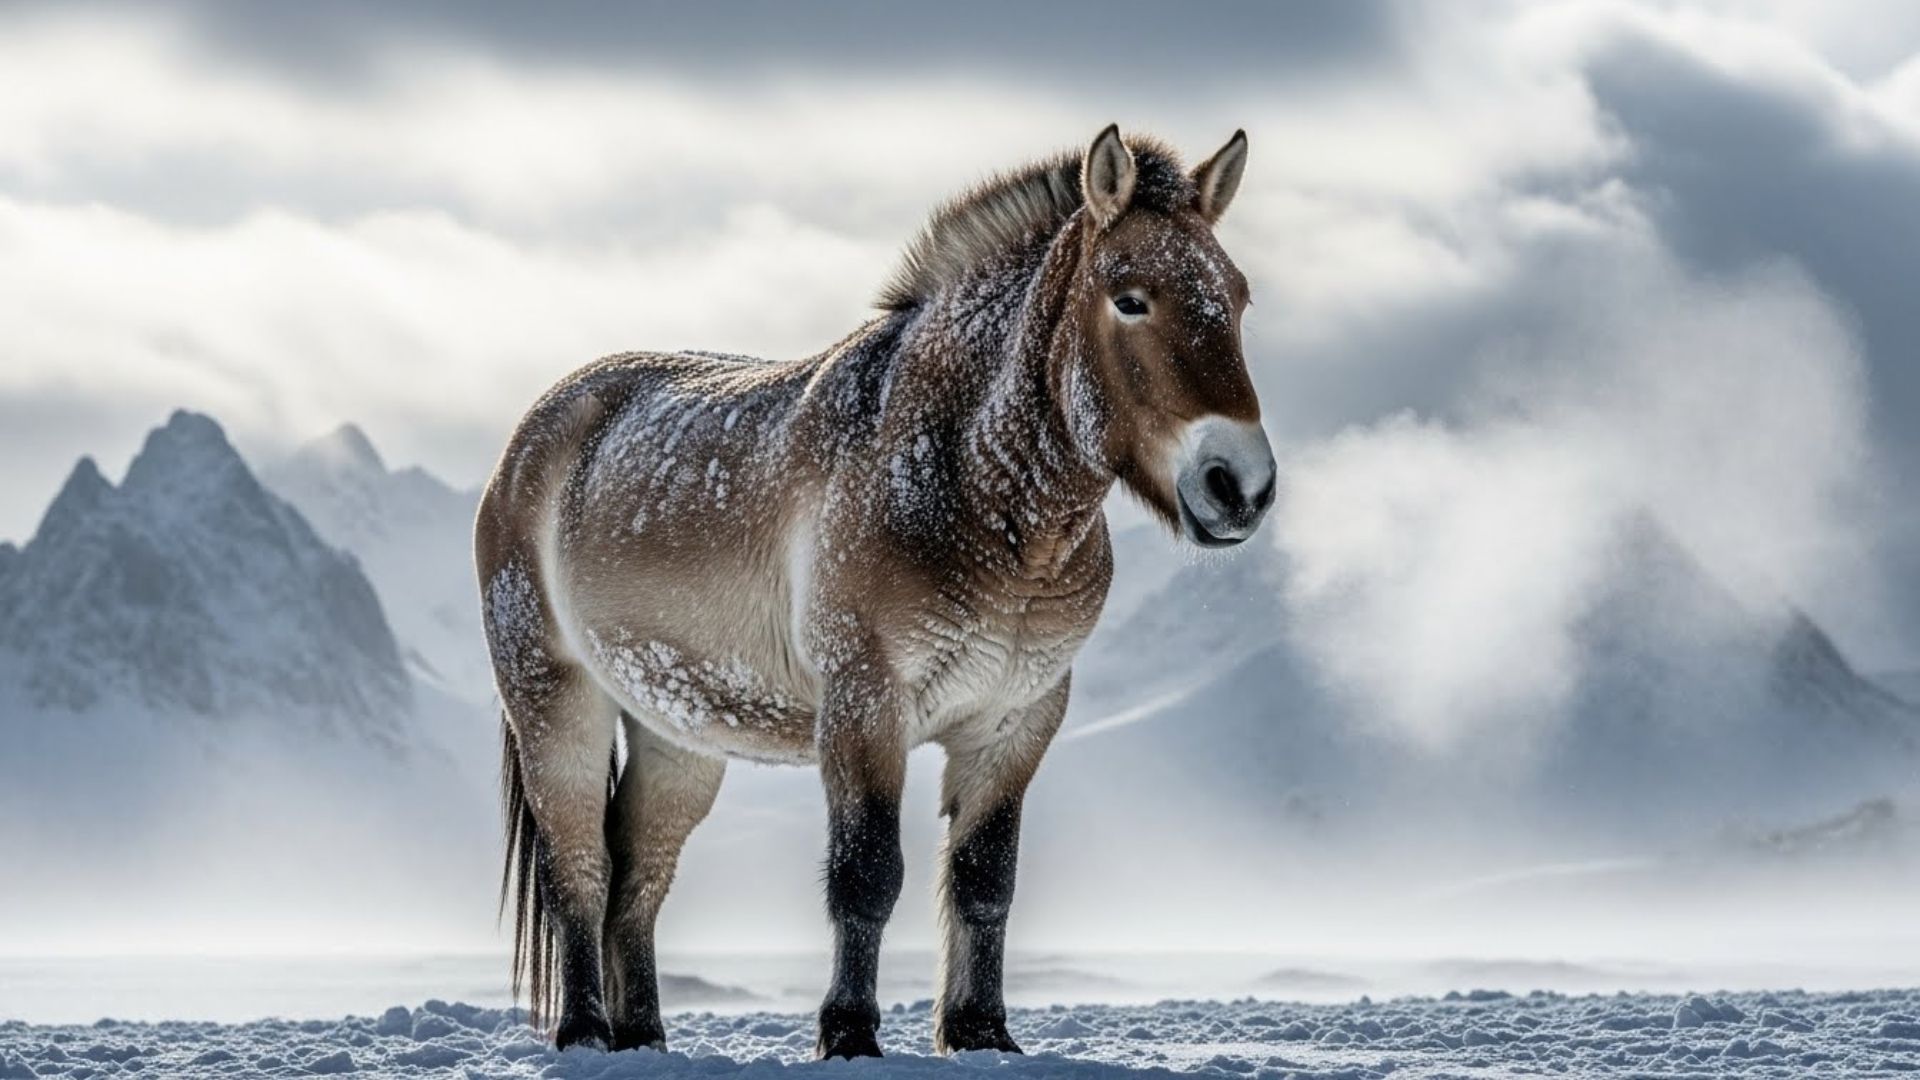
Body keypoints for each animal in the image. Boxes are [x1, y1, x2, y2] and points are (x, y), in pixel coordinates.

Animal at [475, 124, 1276, 1058]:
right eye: (1131, 299)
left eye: (1239, 298)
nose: (1239, 486)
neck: (960, 475)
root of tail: (535, 436)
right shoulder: (866, 705)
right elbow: (867, 874)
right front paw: (850, 1033)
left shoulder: (1018, 718)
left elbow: (984, 880)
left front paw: (980, 1032)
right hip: (556, 703)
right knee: (580, 866)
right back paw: (584, 1032)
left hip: (676, 735)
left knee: (639, 872)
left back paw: (643, 1037)